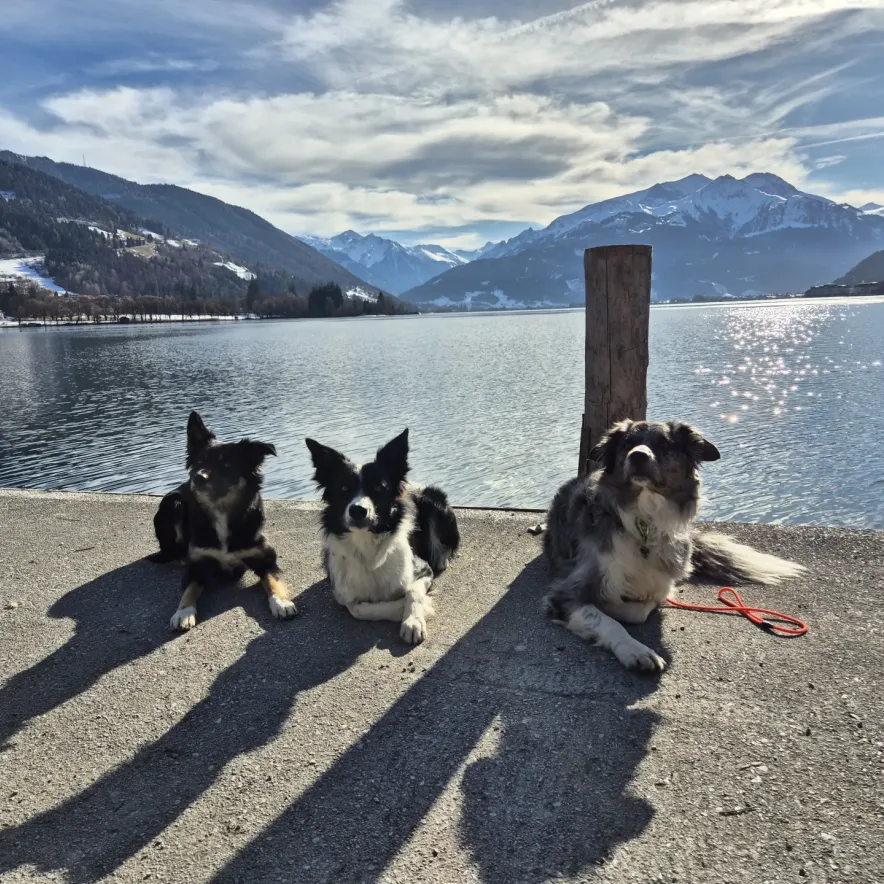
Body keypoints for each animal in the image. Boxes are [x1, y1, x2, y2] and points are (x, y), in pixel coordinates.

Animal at [151, 411, 297, 630]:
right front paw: (183, 612)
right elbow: (189, 590)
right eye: (199, 461)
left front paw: (281, 602)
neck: (221, 512)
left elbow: (273, 580)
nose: (198, 477)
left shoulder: (266, 559)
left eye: (227, 464)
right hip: (174, 503)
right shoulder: (197, 565)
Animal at [305, 428, 460, 644]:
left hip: (433, 498)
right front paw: (402, 610)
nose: (358, 510)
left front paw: (413, 622)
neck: (367, 546)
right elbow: (358, 609)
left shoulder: (423, 569)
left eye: (378, 488)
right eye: (343, 488)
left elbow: (413, 591)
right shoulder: (342, 594)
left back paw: (441, 558)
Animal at [542, 419, 805, 672]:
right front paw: (635, 650)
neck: (645, 524)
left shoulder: (662, 584)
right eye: (628, 443)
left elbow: (641, 609)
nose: (638, 455)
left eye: (664, 444)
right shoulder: (568, 591)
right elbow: (607, 620)